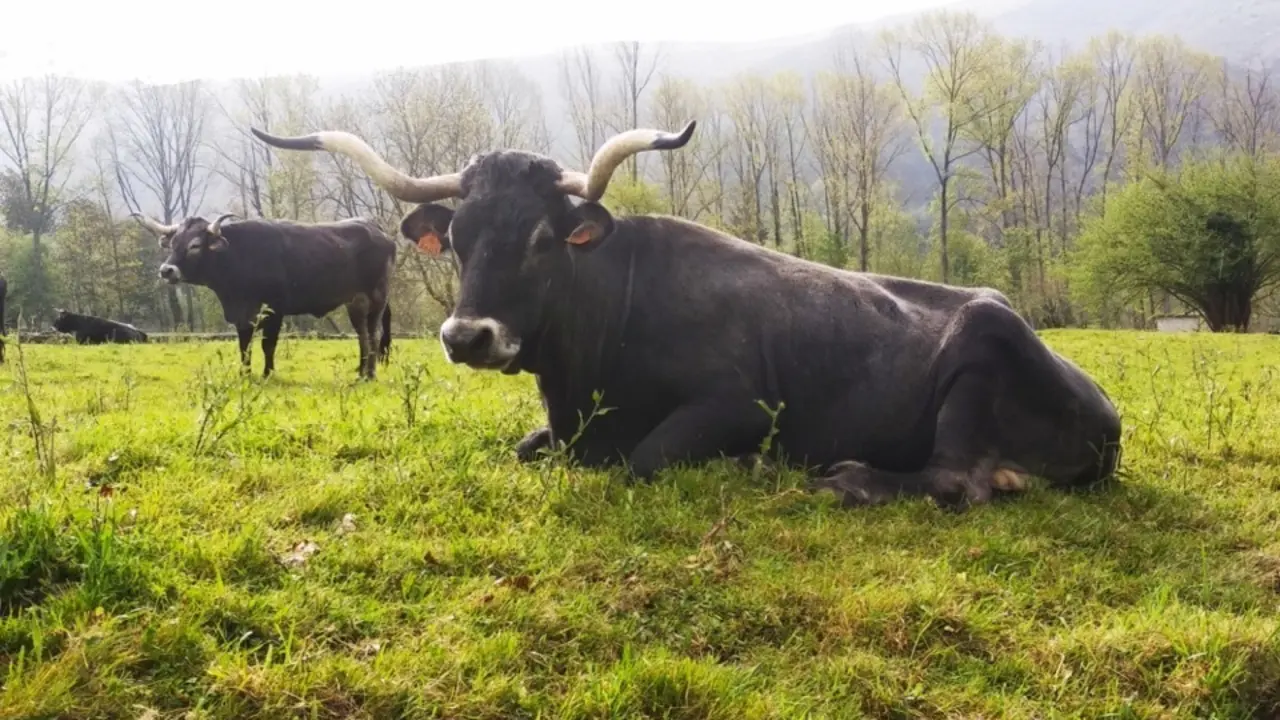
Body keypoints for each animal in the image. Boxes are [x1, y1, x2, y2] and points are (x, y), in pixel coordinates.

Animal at [130, 213, 396, 380]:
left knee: (373, 335)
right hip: (355, 303)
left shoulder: (274, 310)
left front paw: (268, 373)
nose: (167, 270)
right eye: (173, 242)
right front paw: (245, 373)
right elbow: (244, 345)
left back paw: (369, 374)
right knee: (363, 336)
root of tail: (380, 232)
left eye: (195, 245)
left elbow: (268, 345)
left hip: (377, 298)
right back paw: (361, 370)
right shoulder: (242, 315)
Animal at [249, 122, 1123, 511]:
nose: (468, 337)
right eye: (457, 239)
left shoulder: (742, 405)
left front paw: (745, 467)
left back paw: (848, 478)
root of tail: (1106, 410)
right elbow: (527, 448)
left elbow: (646, 458)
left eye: (541, 238)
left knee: (954, 481)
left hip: (982, 345)